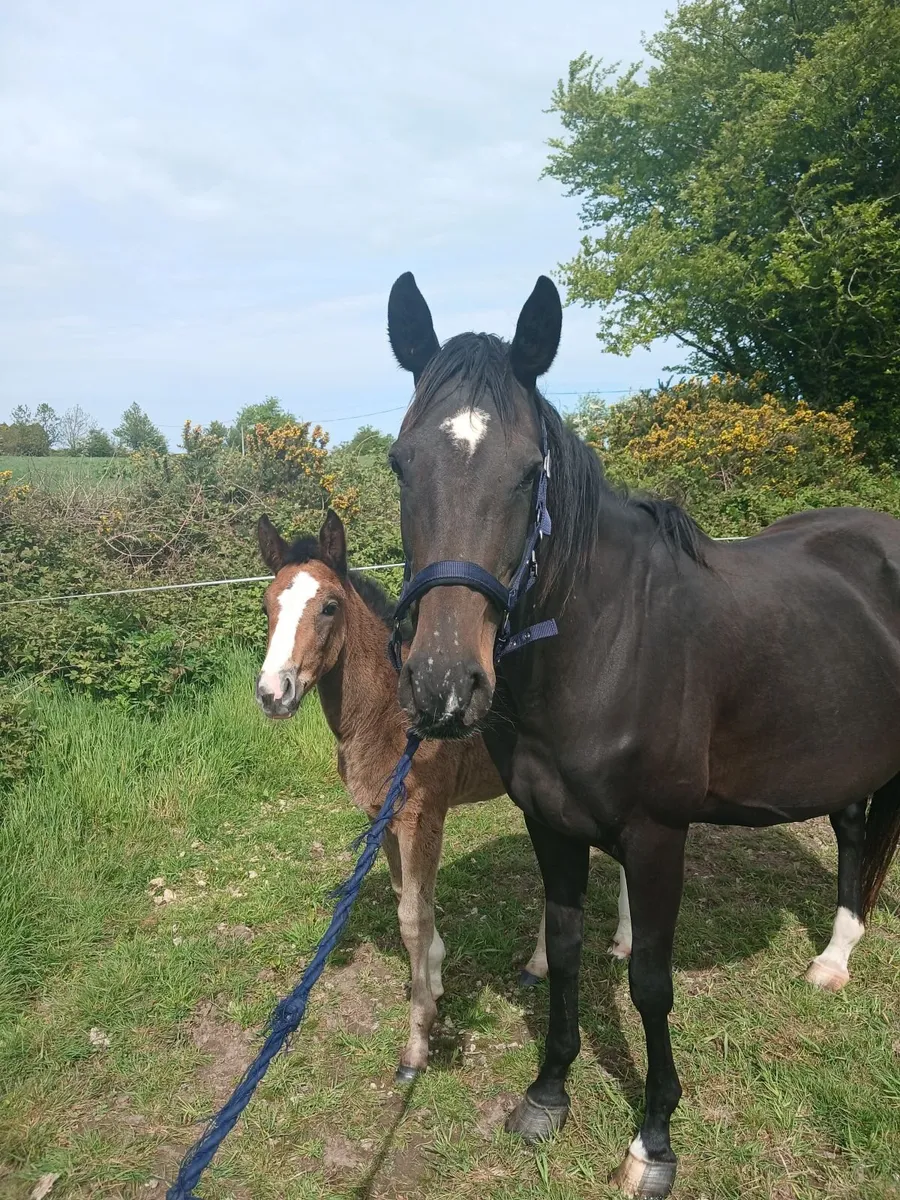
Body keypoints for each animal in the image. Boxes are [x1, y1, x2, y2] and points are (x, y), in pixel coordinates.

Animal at [253, 509, 580, 1079]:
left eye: (330, 606)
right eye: (269, 605)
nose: (274, 692)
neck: (389, 713)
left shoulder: (422, 816)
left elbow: (413, 917)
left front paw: (418, 1039)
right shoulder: (381, 818)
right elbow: (407, 895)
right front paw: (433, 973)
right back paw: (541, 964)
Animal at [384, 271, 900, 1198]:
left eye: (529, 473)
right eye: (401, 463)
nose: (443, 685)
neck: (606, 647)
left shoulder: (659, 838)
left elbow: (650, 985)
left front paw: (652, 1140)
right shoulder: (550, 826)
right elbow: (564, 953)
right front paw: (547, 1095)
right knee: (851, 830)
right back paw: (834, 958)